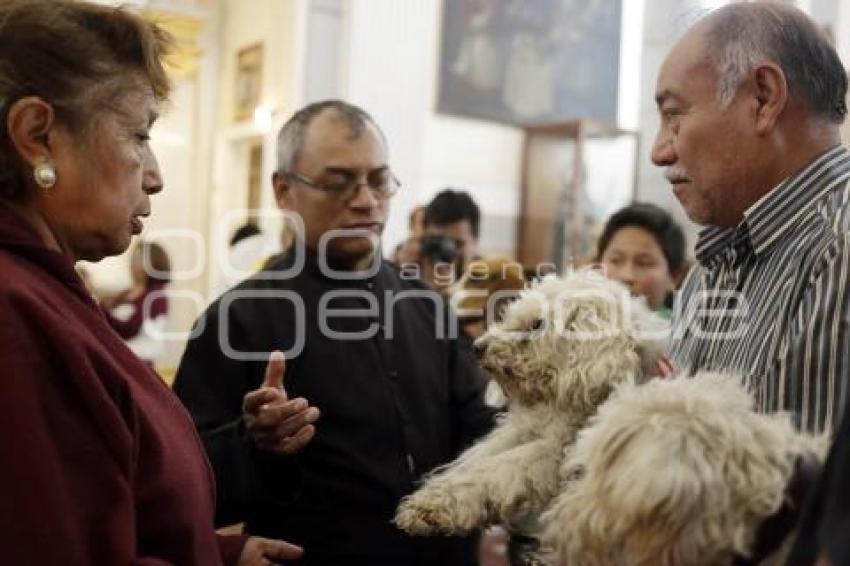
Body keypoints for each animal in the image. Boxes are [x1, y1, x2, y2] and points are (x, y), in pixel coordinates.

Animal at [394, 272, 664, 540]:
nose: (478, 347)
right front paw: (433, 499)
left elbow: (498, 468)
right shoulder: (520, 431)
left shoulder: (555, 449)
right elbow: (475, 459)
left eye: (537, 324)